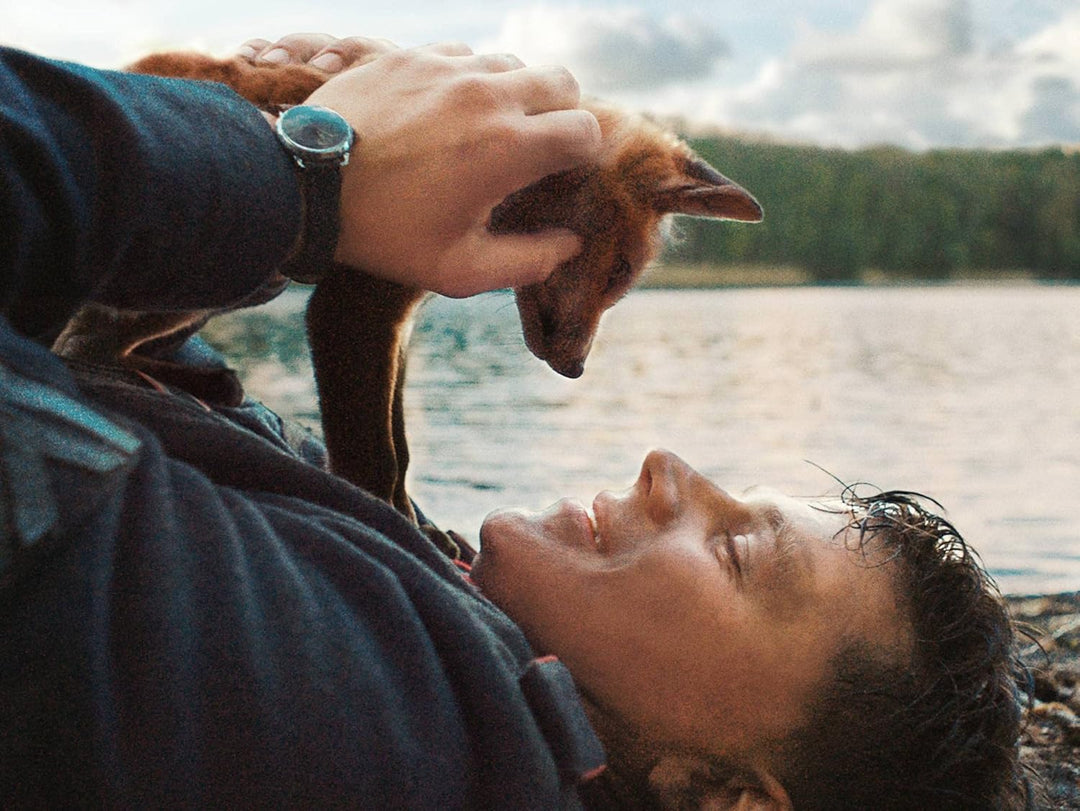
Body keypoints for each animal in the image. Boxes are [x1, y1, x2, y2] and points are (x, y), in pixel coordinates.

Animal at [54, 51, 763, 548]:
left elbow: (400, 449)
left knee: (97, 343)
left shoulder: (401, 315)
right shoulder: (351, 308)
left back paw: (198, 383)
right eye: (617, 270)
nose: (575, 370)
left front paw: (422, 529)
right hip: (239, 264)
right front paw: (395, 530)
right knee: (77, 346)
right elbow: (373, 458)